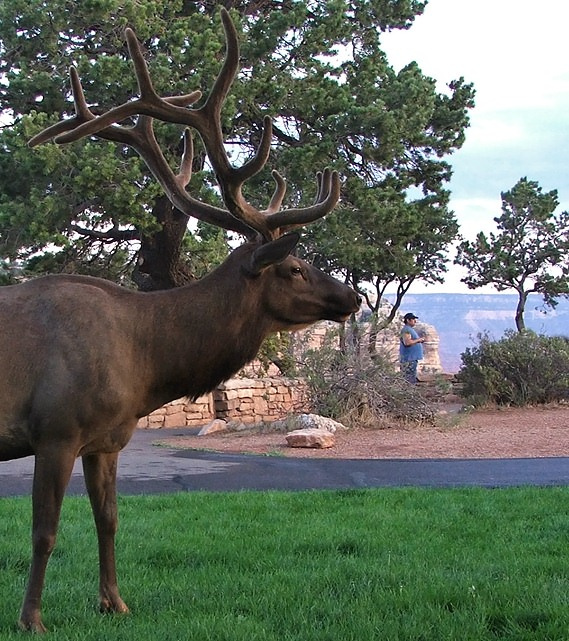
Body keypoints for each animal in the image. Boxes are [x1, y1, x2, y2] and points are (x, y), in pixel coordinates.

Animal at [1, 8, 360, 633]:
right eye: (294, 267)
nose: (353, 296)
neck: (144, 364)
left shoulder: (106, 439)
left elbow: (109, 520)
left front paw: (114, 602)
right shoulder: (55, 429)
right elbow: (44, 532)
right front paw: (32, 620)